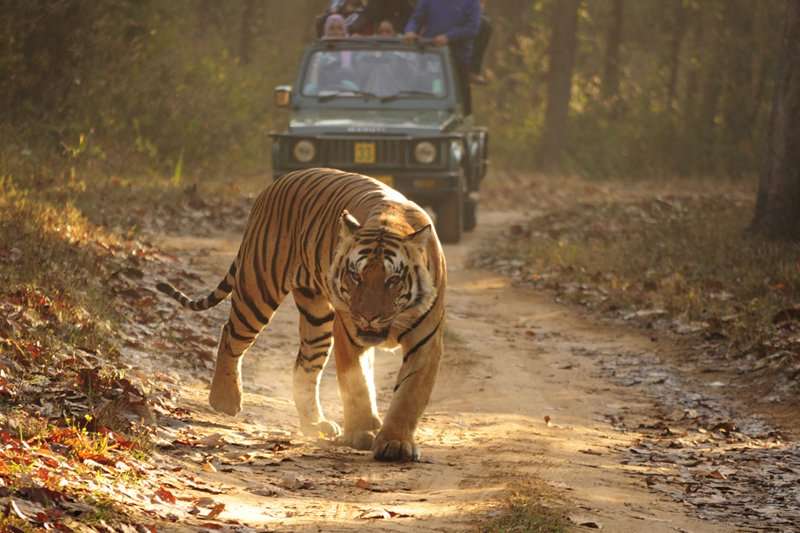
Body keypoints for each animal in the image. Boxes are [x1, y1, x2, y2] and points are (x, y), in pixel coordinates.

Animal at [156, 168, 446, 462]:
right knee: (230, 334)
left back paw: (315, 423)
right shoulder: (348, 333)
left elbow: (409, 394)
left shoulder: (426, 341)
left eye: (392, 280)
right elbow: (357, 385)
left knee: (304, 366)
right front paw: (361, 433)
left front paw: (395, 443)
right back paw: (225, 400)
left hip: (316, 319)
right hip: (258, 288)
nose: (367, 316)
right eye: (355, 276)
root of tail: (278, 181)